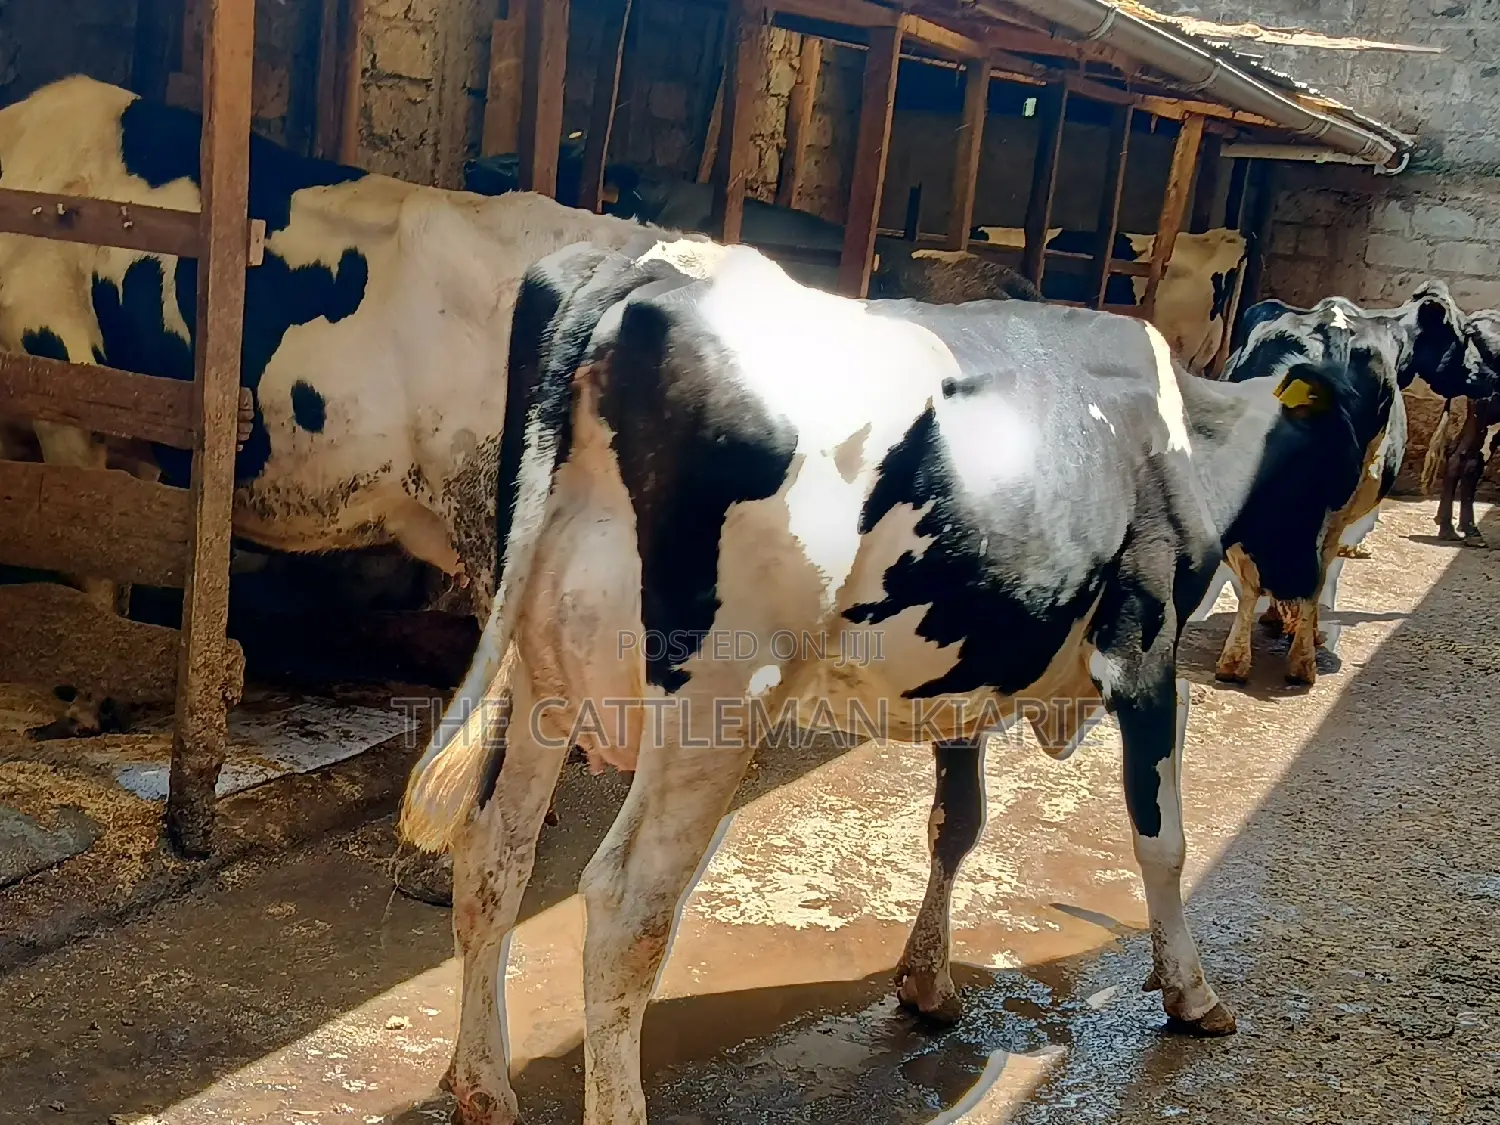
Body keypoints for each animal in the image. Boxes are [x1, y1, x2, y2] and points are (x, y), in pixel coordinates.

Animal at [395, 231, 1449, 1125]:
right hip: (716, 699)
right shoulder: (1144, 650)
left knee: (494, 853)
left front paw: (926, 980)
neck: (1188, 433)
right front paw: (1192, 994)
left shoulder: (969, 673)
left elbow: (957, 823)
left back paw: (484, 1089)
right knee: (627, 906)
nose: (1310, 582)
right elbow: (1162, 837)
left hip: (542, 672)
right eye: (1349, 430)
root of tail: (652, 263)